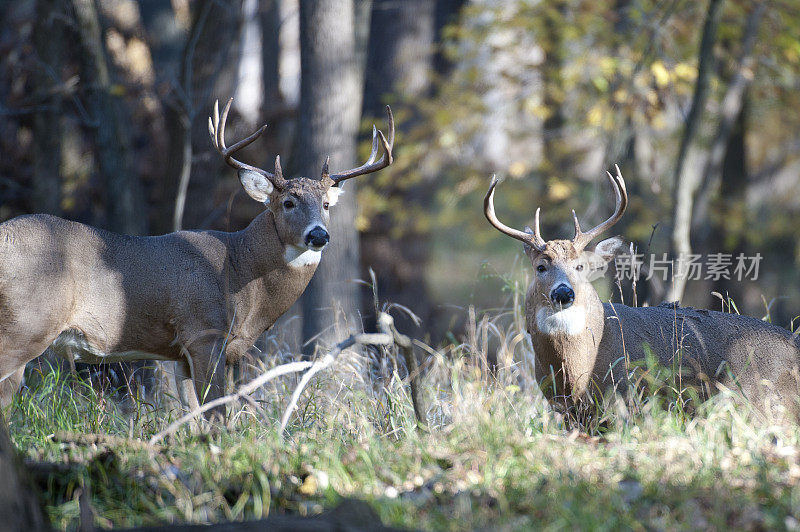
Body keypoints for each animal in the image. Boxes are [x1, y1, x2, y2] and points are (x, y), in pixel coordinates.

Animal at [0, 97, 394, 410]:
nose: (319, 235)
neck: (238, 271)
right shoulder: (204, 332)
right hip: (26, 324)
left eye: (326, 204)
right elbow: (216, 413)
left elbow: (192, 416)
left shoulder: (180, 353)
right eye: (288, 202)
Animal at [482, 166, 800, 420]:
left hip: (753, 399)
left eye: (580, 266)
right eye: (540, 267)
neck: (576, 373)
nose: (564, 293)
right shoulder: (567, 411)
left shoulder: (626, 396)